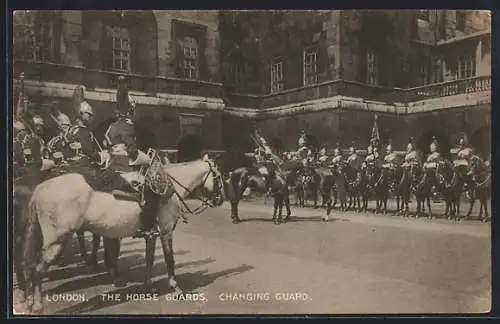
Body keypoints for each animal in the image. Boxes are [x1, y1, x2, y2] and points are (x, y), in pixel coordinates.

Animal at [18, 154, 225, 314]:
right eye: (220, 176)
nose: (220, 200)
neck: (168, 186)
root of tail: (39, 189)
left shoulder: (151, 234)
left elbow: (149, 260)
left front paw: (148, 286)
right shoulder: (166, 232)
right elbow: (169, 260)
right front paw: (176, 288)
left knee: (29, 267)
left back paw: (29, 301)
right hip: (56, 241)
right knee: (37, 270)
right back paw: (37, 305)